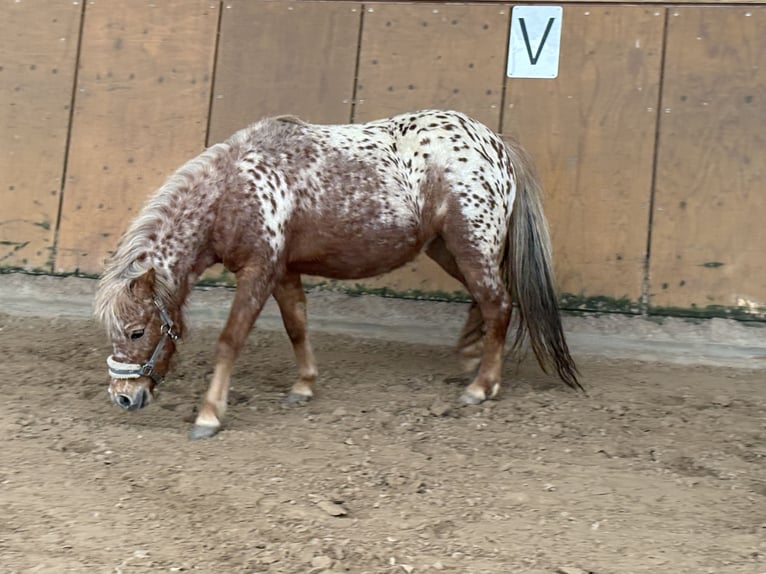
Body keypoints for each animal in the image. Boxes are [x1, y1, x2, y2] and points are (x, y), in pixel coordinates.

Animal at [94, 109, 584, 440]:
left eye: (137, 331)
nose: (123, 397)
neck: (235, 190)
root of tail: (494, 141)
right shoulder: (283, 271)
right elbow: (296, 325)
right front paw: (304, 385)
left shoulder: (259, 271)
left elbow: (230, 340)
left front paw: (209, 415)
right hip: (449, 249)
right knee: (484, 300)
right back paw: (469, 357)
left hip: (470, 245)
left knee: (498, 303)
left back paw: (482, 386)